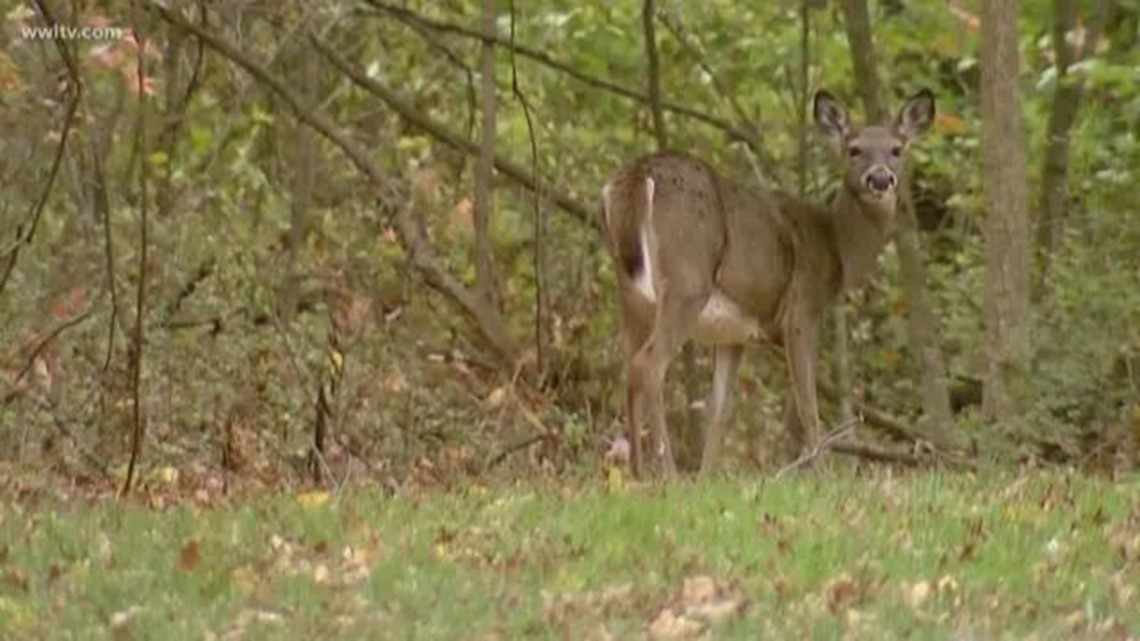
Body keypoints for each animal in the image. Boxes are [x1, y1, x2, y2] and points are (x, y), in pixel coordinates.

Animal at [600, 88, 935, 477]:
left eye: (897, 149)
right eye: (854, 149)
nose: (880, 179)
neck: (835, 244)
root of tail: (637, 176)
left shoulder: (732, 333)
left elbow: (720, 410)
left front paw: (707, 478)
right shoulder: (802, 310)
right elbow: (806, 404)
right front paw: (823, 474)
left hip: (630, 293)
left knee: (628, 365)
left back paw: (638, 472)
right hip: (687, 279)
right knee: (649, 365)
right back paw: (668, 473)